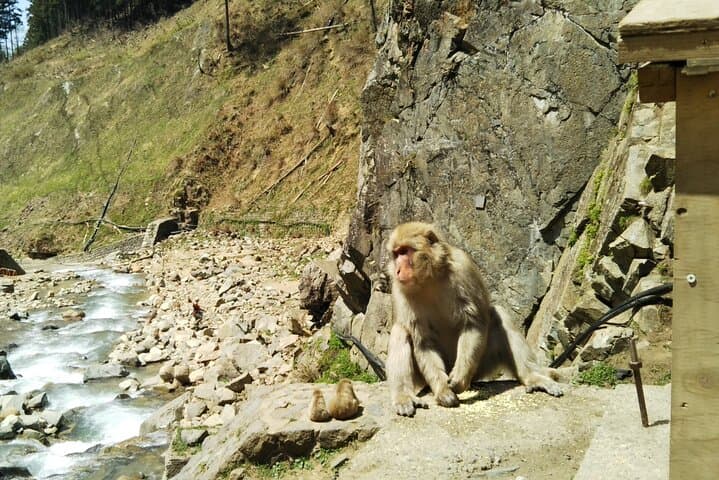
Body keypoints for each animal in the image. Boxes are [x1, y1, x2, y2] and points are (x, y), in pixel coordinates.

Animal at [386, 222, 563, 416]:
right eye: (396, 254)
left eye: (404, 251)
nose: (397, 270)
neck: (429, 279)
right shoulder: (398, 289)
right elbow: (424, 342)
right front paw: (443, 391)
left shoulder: (464, 267)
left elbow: (473, 323)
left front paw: (459, 379)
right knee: (400, 330)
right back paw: (403, 396)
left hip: (481, 365)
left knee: (498, 314)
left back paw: (532, 377)